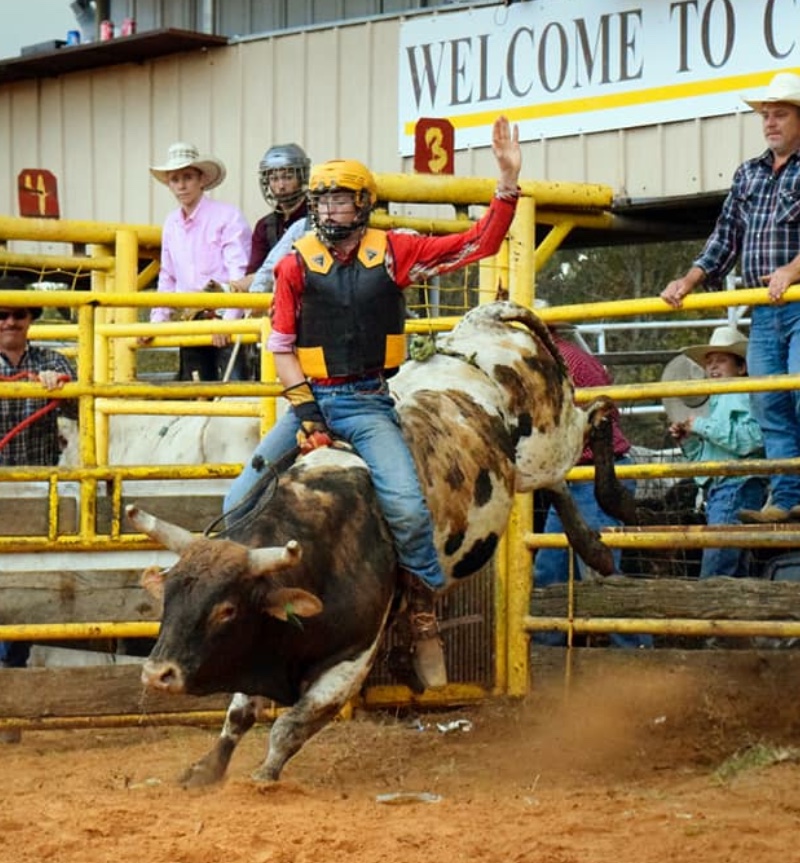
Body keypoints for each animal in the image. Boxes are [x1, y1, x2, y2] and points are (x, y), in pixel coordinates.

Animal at [126, 300, 612, 788]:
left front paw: (264, 775)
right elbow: (238, 716)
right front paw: (206, 768)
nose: (156, 673)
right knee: (562, 480)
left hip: (552, 440)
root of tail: (484, 321)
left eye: (225, 609)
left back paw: (606, 516)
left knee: (595, 419)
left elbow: (291, 725)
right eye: (170, 596)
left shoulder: (352, 658)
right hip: (533, 465)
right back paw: (594, 546)